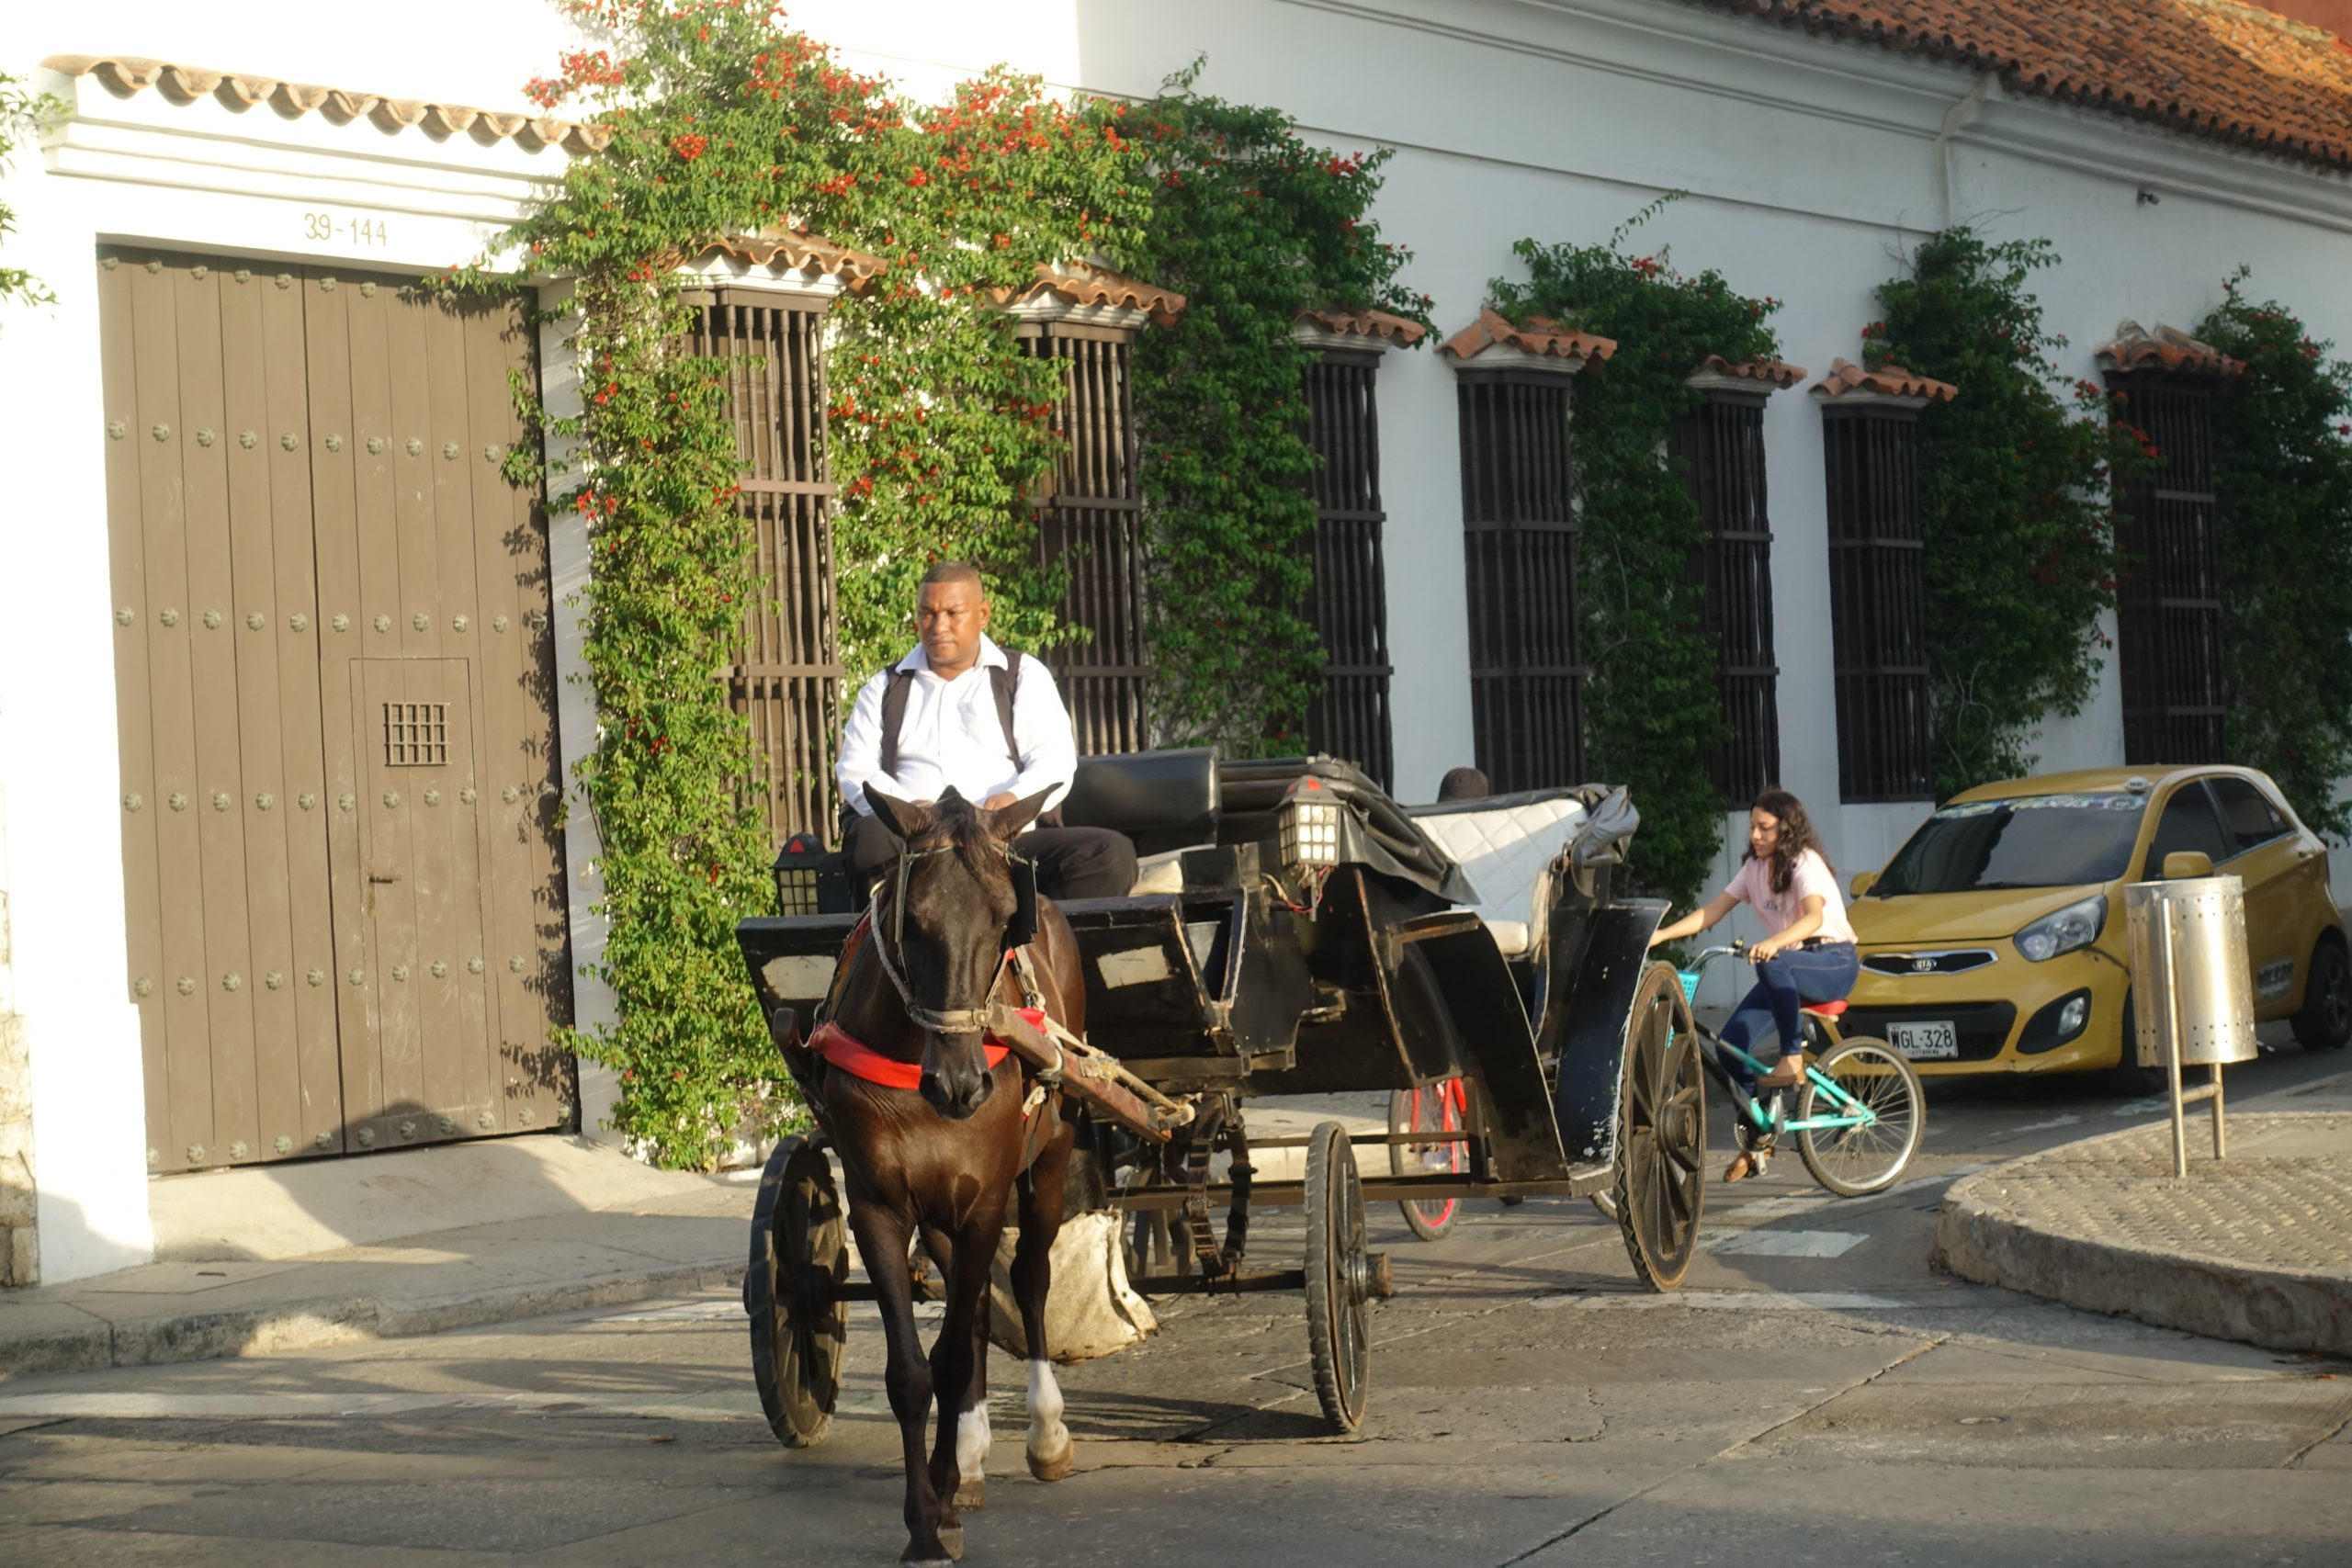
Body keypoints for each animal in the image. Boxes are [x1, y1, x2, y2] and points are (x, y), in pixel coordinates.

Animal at [832, 789, 1086, 1561]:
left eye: (1007, 919)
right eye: (912, 918)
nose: (960, 1084)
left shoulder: (984, 1203)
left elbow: (949, 1357)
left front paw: (940, 1500)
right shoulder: (878, 1207)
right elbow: (915, 1372)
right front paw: (926, 1517)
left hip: (1051, 1156)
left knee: (1030, 1279)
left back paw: (1045, 1430)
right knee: (969, 1311)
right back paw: (969, 1453)